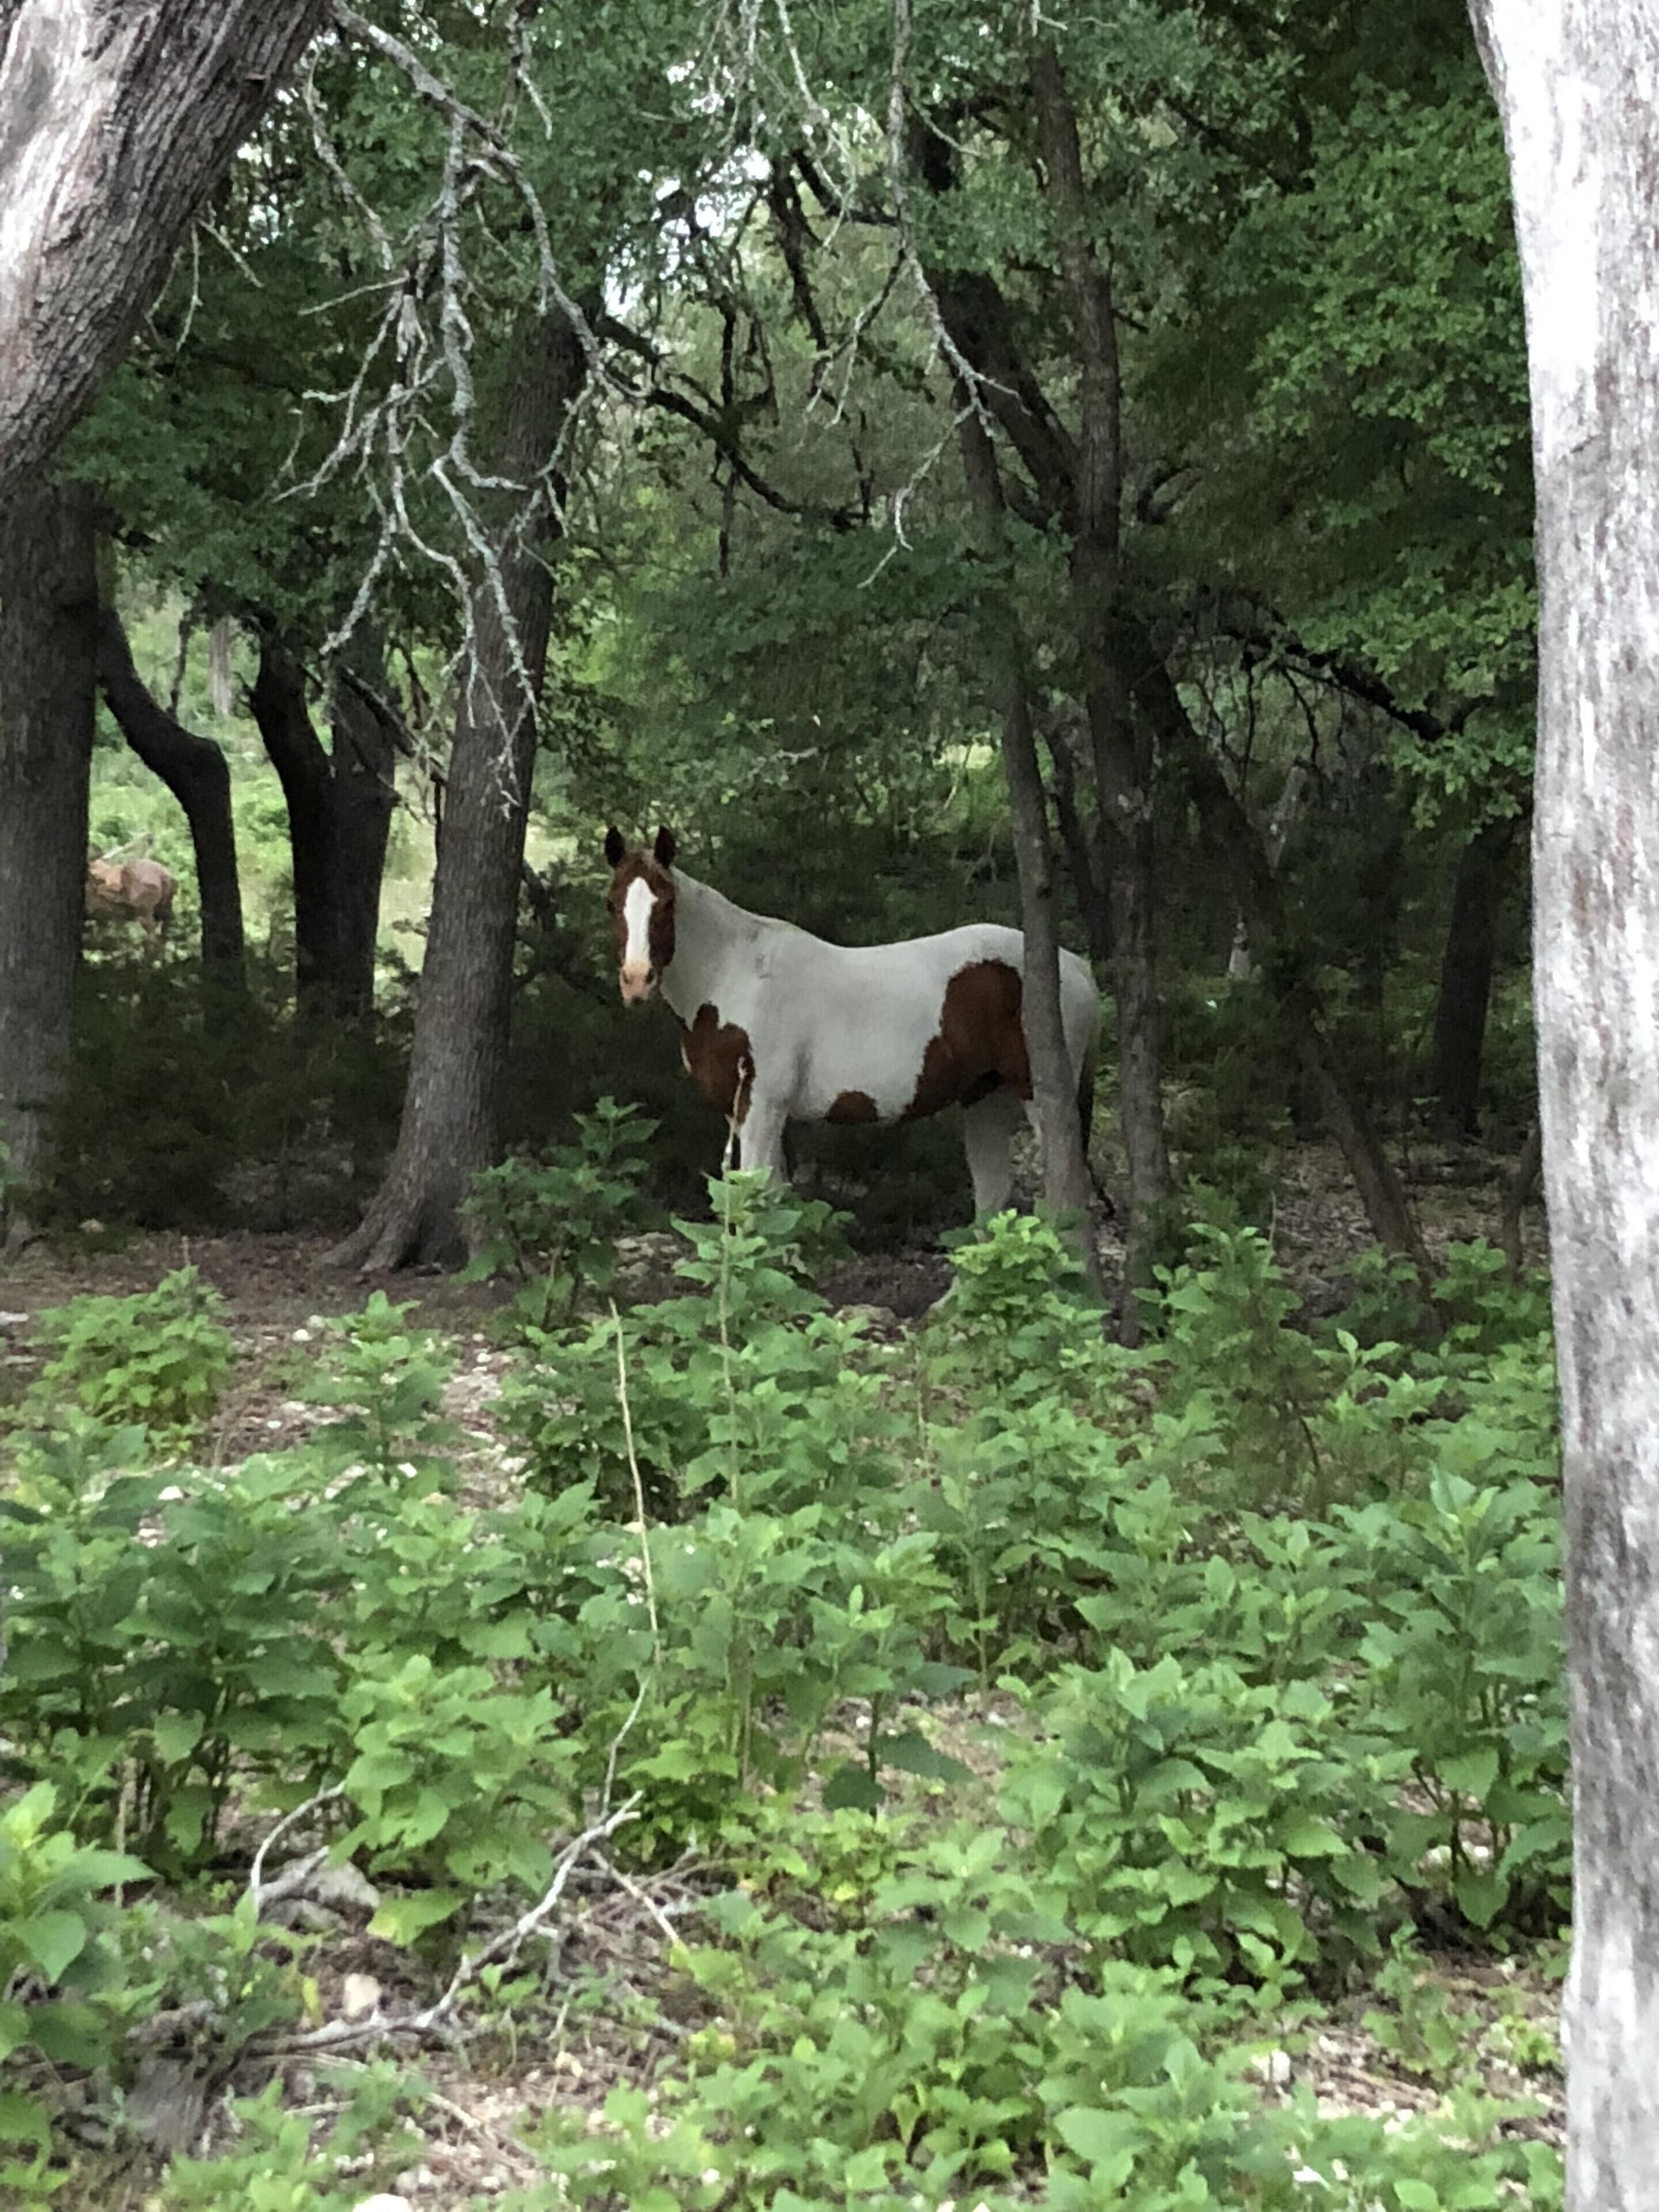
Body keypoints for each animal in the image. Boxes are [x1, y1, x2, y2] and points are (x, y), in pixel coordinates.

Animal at [602, 826, 1099, 1217]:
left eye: (666, 904)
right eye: (611, 904)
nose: (637, 982)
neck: (735, 974)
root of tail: (1076, 967)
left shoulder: (763, 1105)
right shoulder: (742, 1110)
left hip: (1038, 1099)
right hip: (986, 1098)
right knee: (994, 1193)